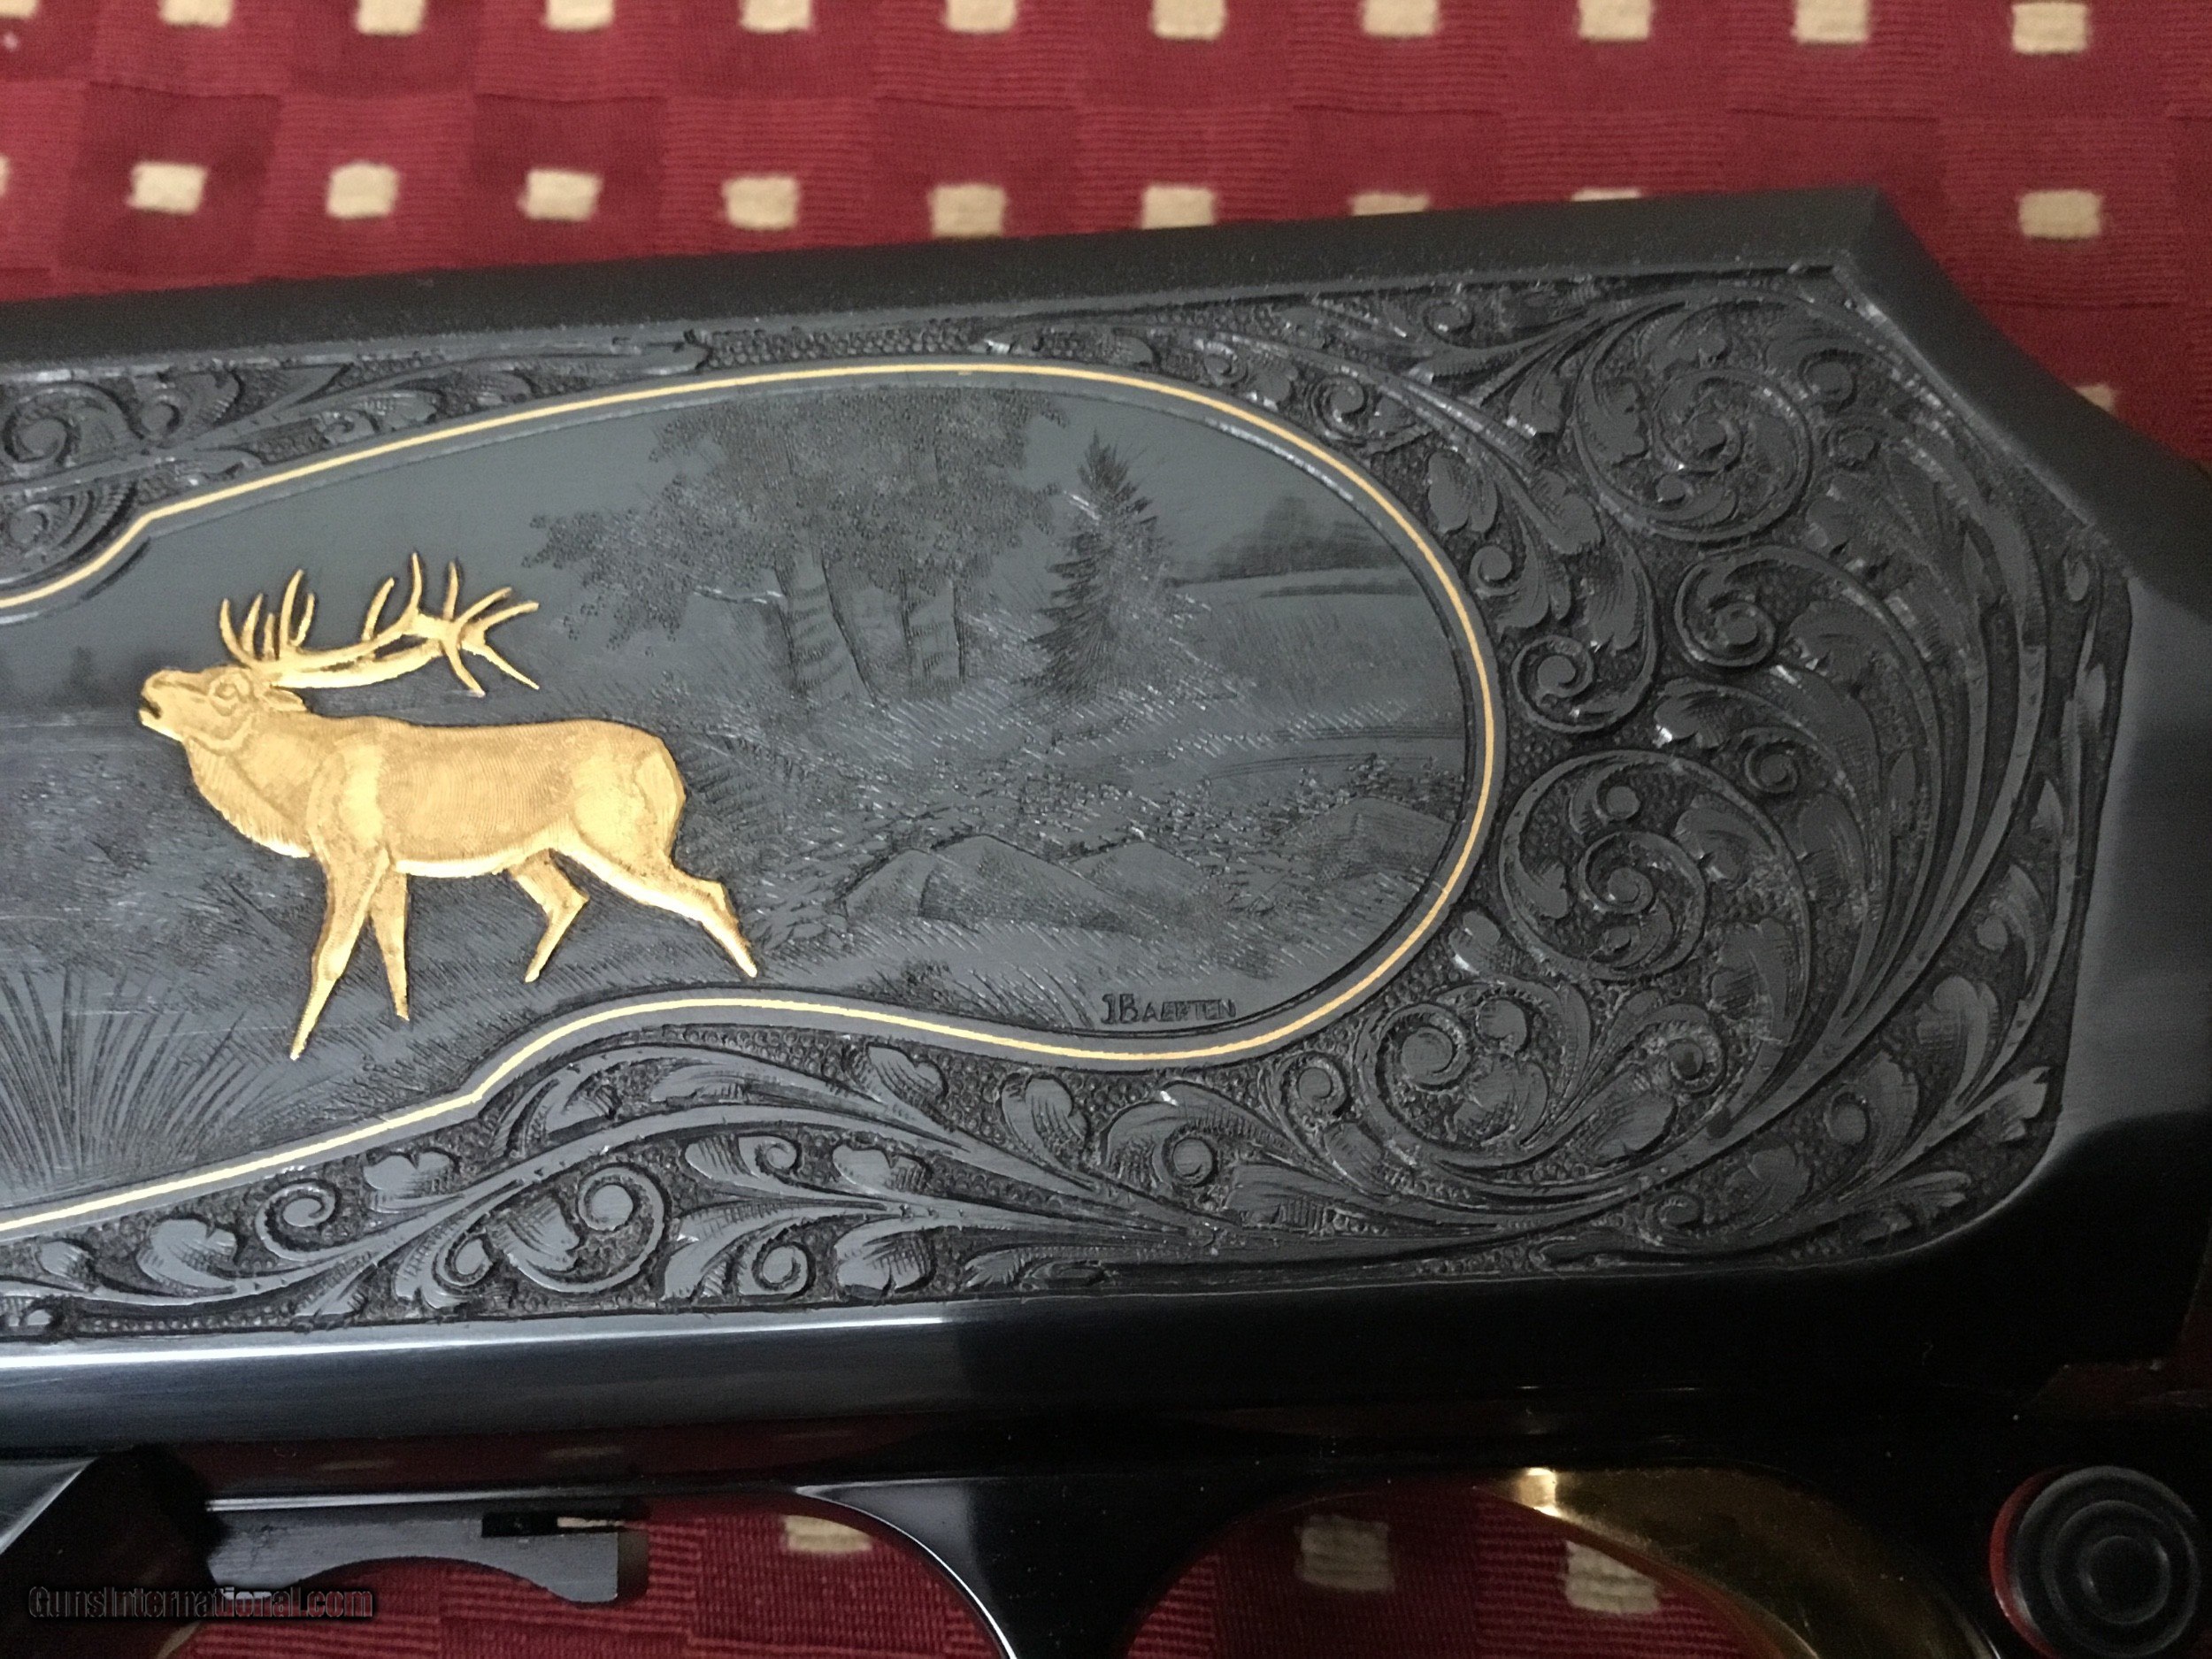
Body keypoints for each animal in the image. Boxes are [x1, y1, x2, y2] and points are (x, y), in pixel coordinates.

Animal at [139, 557, 758, 1057]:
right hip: (534, 852)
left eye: (227, 690)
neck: (300, 783)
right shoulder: (391, 865)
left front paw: (296, 1049)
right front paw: (403, 1020)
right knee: (569, 899)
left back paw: (747, 974)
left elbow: (330, 955)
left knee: (706, 892)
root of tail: (665, 763)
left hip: (618, 835)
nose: (152, 683)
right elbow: (394, 946)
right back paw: (530, 981)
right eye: (206, 673)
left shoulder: (354, 852)